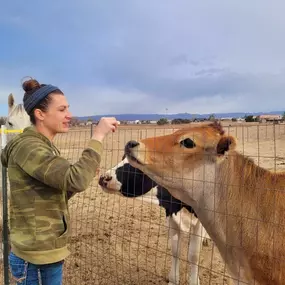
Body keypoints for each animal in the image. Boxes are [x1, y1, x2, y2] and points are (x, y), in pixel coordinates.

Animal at [98, 155, 210, 284]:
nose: (103, 178)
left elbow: (194, 255)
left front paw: (194, 281)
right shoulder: (170, 212)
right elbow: (175, 249)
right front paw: (173, 280)